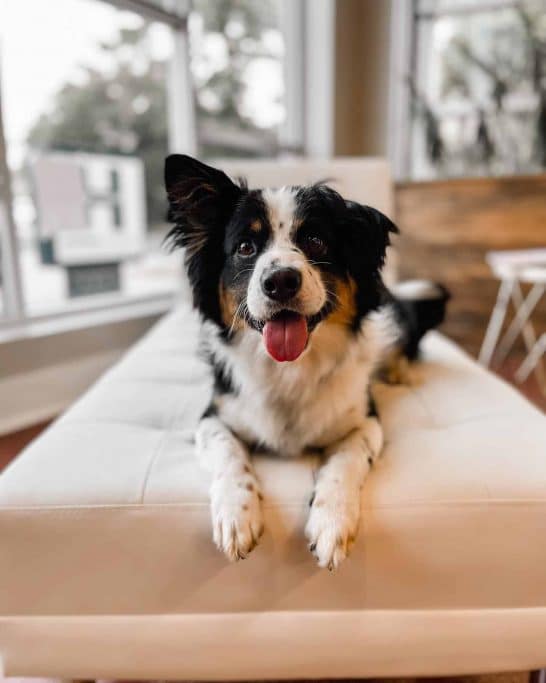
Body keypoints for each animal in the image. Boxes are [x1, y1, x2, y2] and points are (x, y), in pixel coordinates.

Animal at [163, 155, 446, 572]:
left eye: (315, 240)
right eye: (245, 247)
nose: (280, 280)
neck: (289, 368)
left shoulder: (366, 420)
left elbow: (346, 460)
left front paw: (332, 522)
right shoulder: (213, 415)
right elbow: (229, 453)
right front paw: (237, 515)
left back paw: (400, 373)